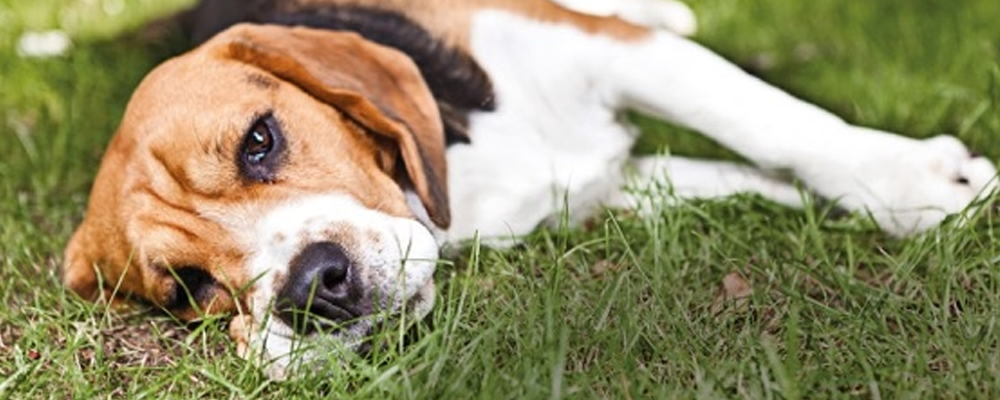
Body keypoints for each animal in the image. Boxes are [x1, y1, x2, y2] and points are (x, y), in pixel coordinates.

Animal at [60, 0, 992, 378]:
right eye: (190, 290)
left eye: (260, 141)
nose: (313, 290)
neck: (461, 173)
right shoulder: (607, 186)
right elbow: (743, 174)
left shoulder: (610, 52)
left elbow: (770, 121)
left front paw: (916, 183)